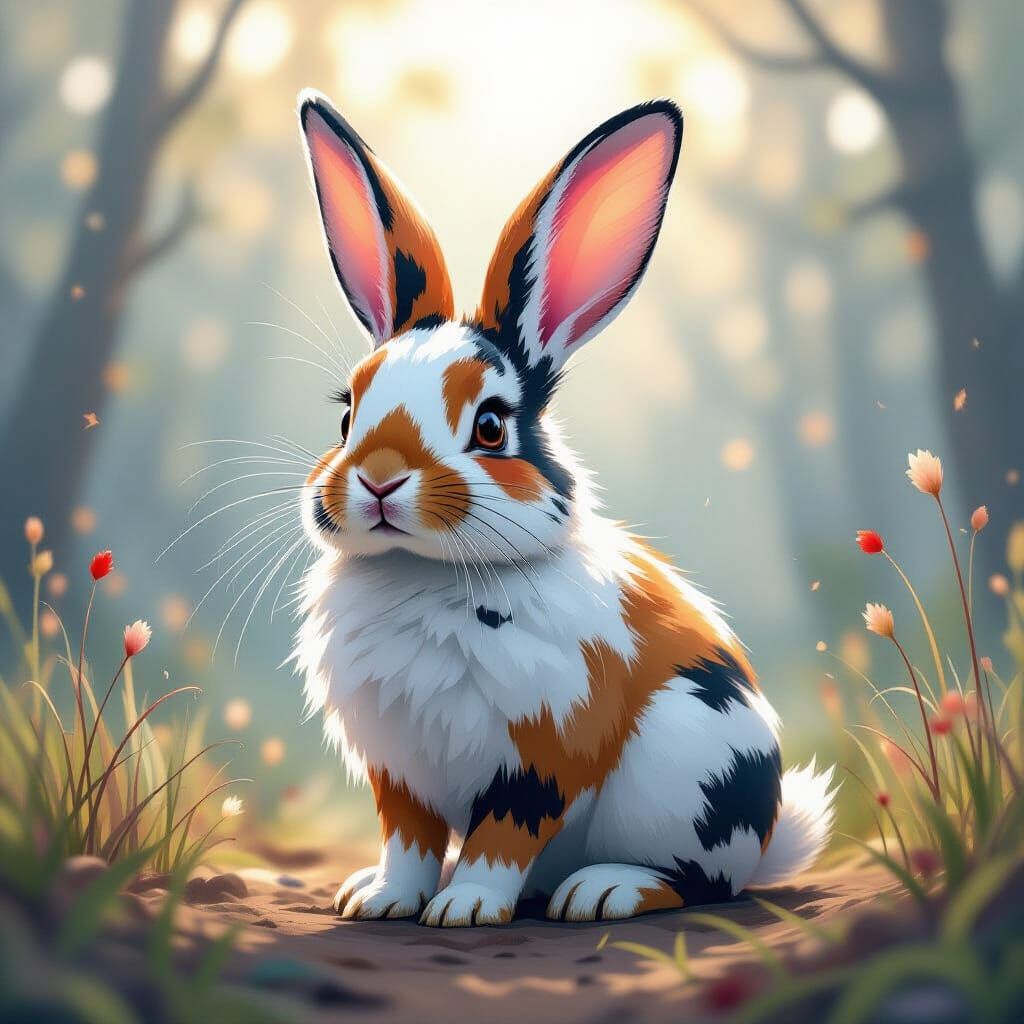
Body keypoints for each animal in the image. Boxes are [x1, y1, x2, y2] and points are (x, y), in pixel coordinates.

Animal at [292, 90, 836, 928]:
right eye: (347, 416)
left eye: (490, 425)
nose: (380, 479)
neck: (425, 573)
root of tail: (771, 839)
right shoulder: (400, 769)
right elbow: (408, 840)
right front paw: (381, 901)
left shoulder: (545, 755)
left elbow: (500, 838)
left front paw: (466, 908)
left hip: (686, 770)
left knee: (699, 882)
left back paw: (602, 892)